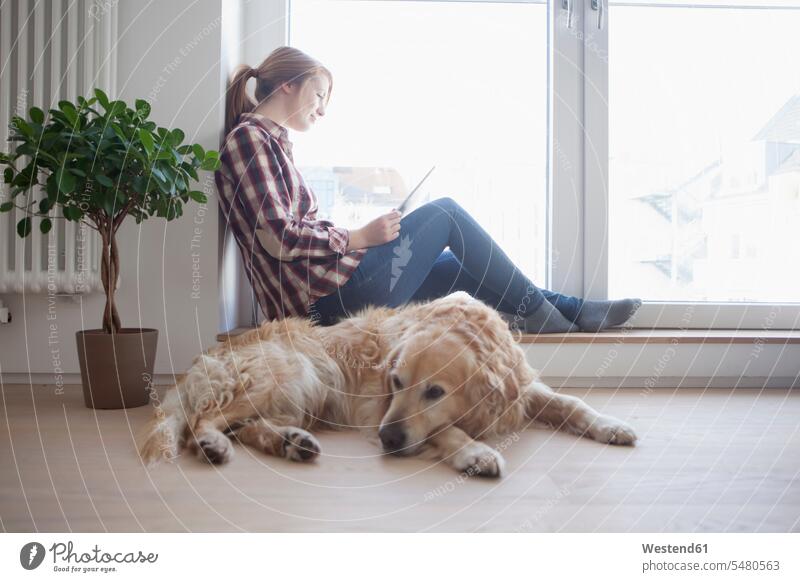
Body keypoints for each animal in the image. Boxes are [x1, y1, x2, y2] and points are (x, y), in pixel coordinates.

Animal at [139, 292, 636, 480]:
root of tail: (202, 362)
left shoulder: (520, 389)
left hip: (298, 393)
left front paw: (610, 424)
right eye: (395, 382)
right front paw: (474, 452)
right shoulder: (380, 410)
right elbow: (445, 430)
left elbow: (571, 403)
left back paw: (292, 442)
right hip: (294, 373)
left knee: (249, 427)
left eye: (434, 391)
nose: (387, 440)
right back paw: (212, 444)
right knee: (204, 420)